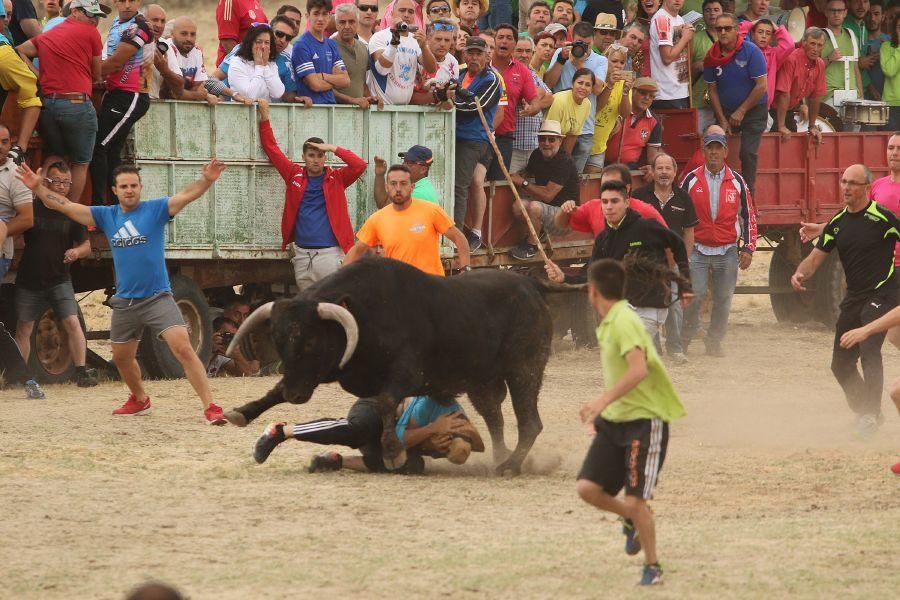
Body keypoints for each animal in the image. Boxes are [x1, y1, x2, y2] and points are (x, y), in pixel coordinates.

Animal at [225, 258, 556, 474]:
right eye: (278, 341)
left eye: (309, 343)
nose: (295, 396)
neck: (364, 312)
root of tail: (529, 284)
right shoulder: (328, 370)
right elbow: (275, 389)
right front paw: (242, 412)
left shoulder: (407, 373)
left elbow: (386, 400)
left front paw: (394, 452)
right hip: (482, 383)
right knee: (495, 419)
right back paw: (501, 458)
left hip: (524, 370)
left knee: (529, 422)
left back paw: (510, 465)